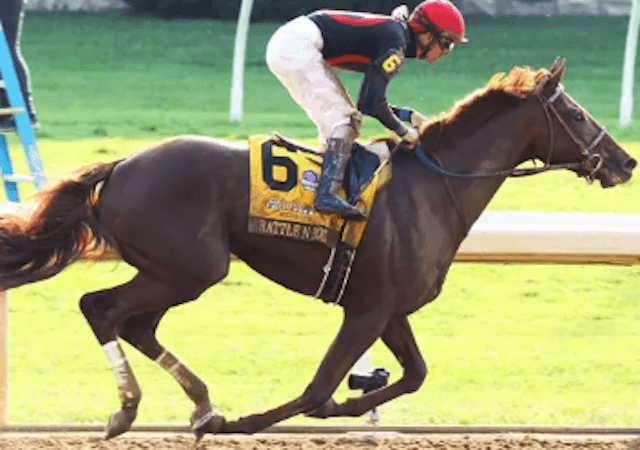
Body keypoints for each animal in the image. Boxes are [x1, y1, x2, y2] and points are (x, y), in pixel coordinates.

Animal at [0, 58, 632, 438]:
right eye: (577, 114)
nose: (625, 161)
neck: (434, 187)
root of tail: (122, 165)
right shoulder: (367, 310)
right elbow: (316, 389)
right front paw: (248, 421)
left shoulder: (388, 308)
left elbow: (414, 374)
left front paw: (353, 406)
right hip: (189, 269)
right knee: (101, 308)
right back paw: (132, 408)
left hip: (176, 273)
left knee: (135, 323)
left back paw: (199, 402)